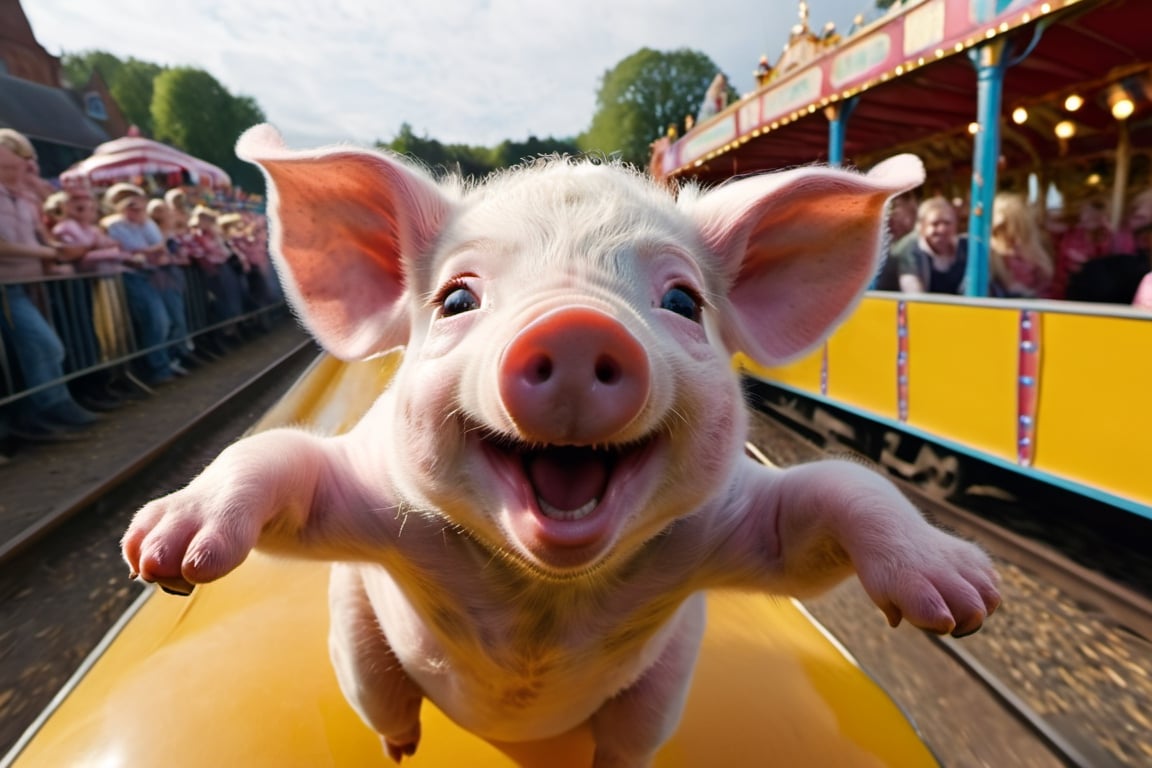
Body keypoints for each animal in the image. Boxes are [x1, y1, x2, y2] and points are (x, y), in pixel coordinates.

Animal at [122, 124, 999, 767]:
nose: (577, 325)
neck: (540, 609)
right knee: (385, 700)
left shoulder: (727, 534)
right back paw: (399, 747)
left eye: (683, 300)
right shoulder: (372, 505)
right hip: (357, 644)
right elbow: (283, 463)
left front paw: (965, 603)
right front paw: (167, 558)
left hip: (659, 694)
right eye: (457, 299)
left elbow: (832, 499)